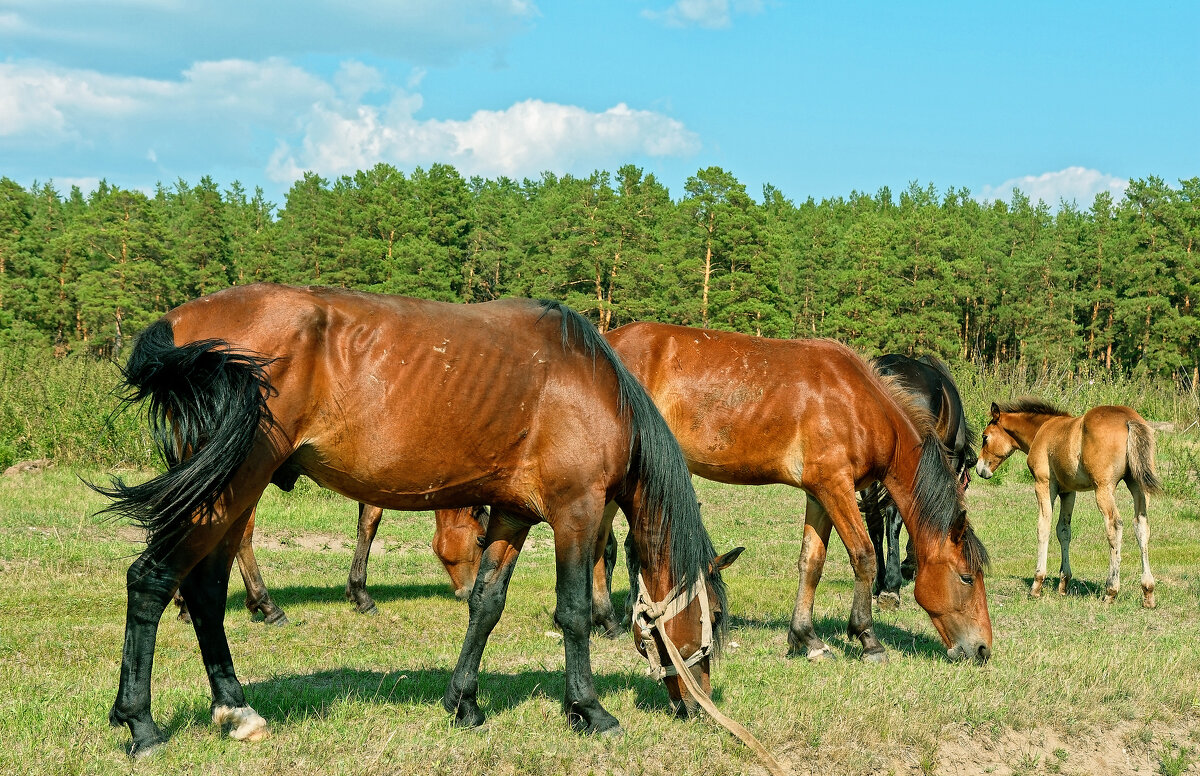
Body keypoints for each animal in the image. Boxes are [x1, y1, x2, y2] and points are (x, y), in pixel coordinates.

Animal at [974, 400, 1161, 606]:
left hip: (1104, 488)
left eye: (985, 437)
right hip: (1137, 485)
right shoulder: (1068, 492)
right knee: (1141, 526)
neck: (1042, 429)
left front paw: (1037, 584)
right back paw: (1148, 592)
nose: (979, 468)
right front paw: (1063, 583)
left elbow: (1043, 527)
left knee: (1114, 526)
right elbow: (1063, 530)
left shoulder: (1044, 484)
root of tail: (1128, 419)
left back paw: (1111, 590)